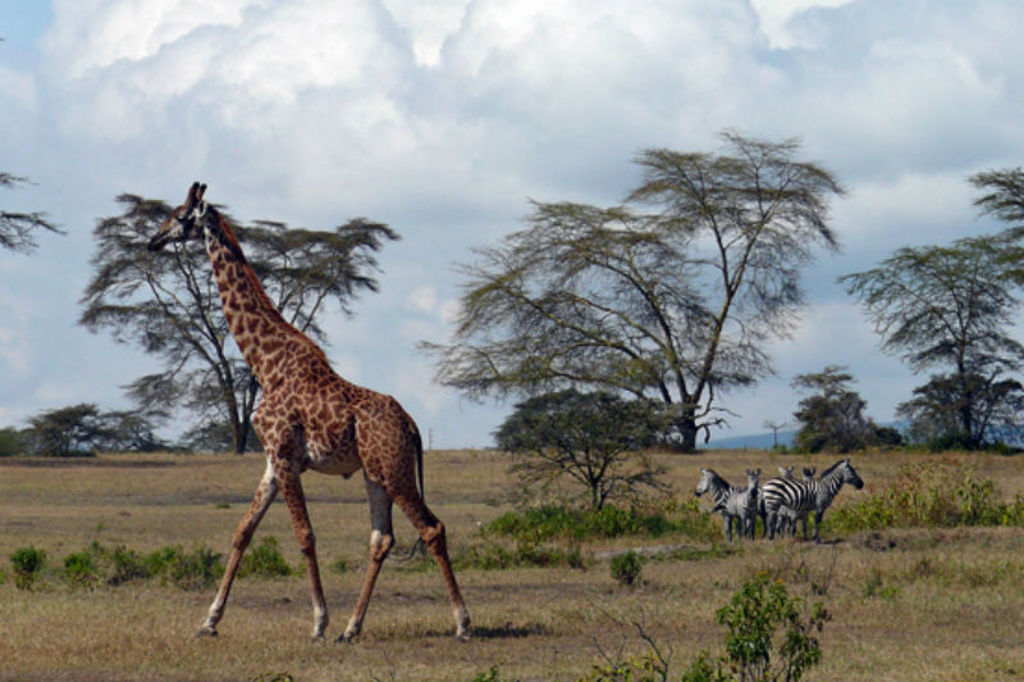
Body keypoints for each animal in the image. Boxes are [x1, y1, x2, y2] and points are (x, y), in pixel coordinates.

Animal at [147, 182, 470, 642]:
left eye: (178, 216)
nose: (152, 241)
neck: (266, 365)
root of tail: (411, 426)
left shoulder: (285, 456)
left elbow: (304, 534)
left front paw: (318, 621)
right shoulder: (272, 461)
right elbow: (243, 531)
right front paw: (209, 620)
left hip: (395, 470)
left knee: (431, 528)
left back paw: (461, 621)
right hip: (375, 474)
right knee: (381, 538)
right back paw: (352, 628)